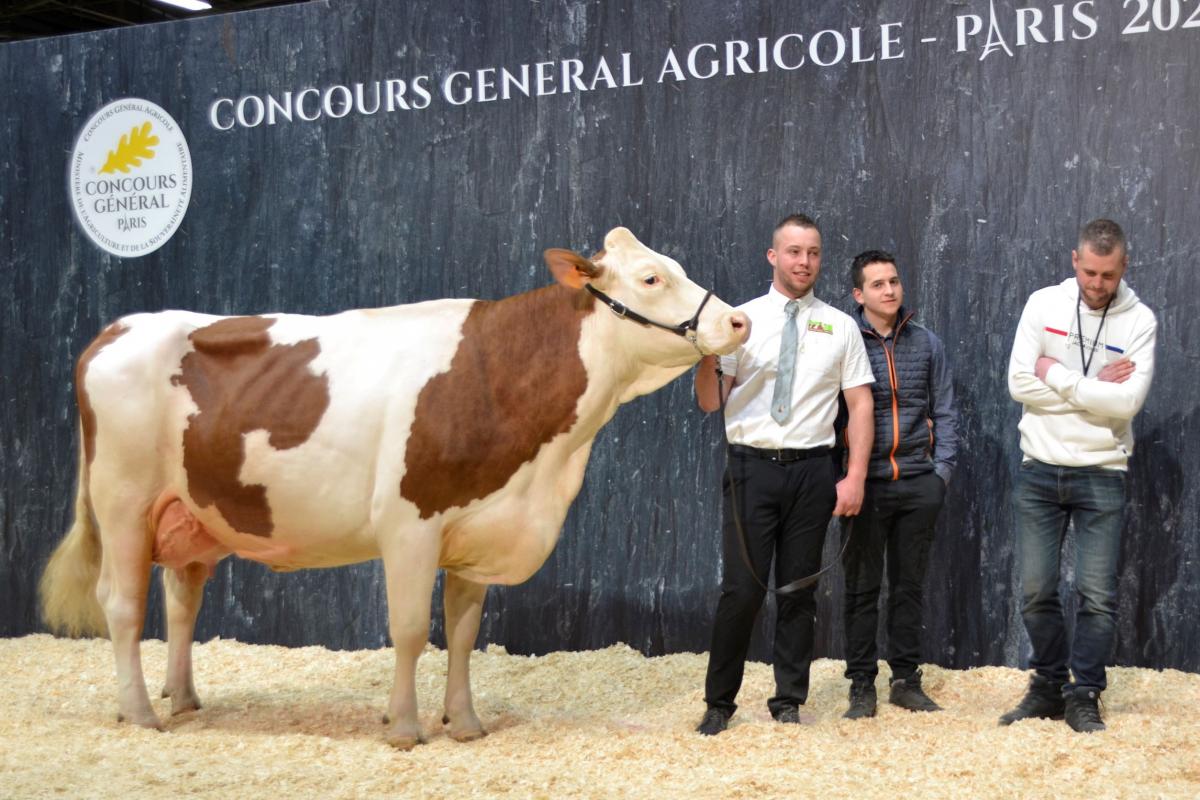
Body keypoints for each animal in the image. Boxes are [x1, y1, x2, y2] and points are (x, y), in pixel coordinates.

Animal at [42, 226, 748, 753]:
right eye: (652, 278)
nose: (739, 322)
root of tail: (116, 329)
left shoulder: (476, 527)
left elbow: (461, 633)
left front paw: (465, 724)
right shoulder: (410, 524)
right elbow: (409, 629)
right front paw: (405, 728)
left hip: (192, 513)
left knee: (182, 600)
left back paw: (185, 698)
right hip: (123, 502)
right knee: (122, 605)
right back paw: (141, 714)